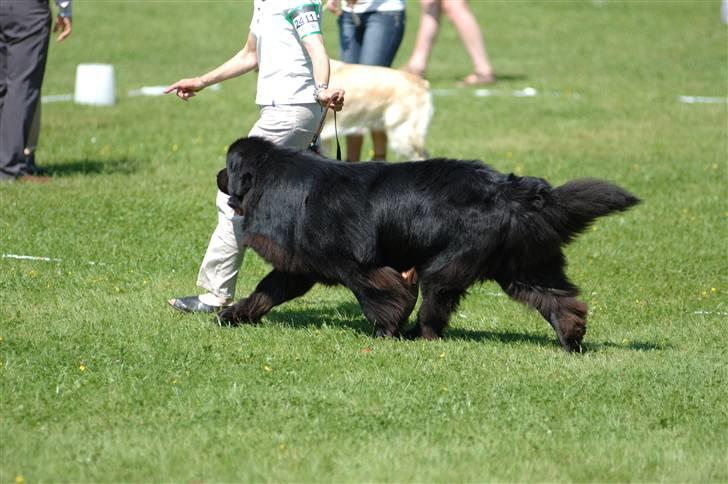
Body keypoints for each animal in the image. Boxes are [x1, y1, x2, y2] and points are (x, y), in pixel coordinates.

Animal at [215, 136, 636, 352]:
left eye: (229, 166)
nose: (217, 175)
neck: (279, 180)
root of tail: (510, 191)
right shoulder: (299, 265)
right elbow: (267, 291)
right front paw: (233, 315)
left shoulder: (356, 264)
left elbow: (381, 295)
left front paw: (386, 330)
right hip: (524, 265)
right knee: (558, 300)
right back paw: (571, 338)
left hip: (449, 263)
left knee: (437, 302)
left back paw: (420, 336)